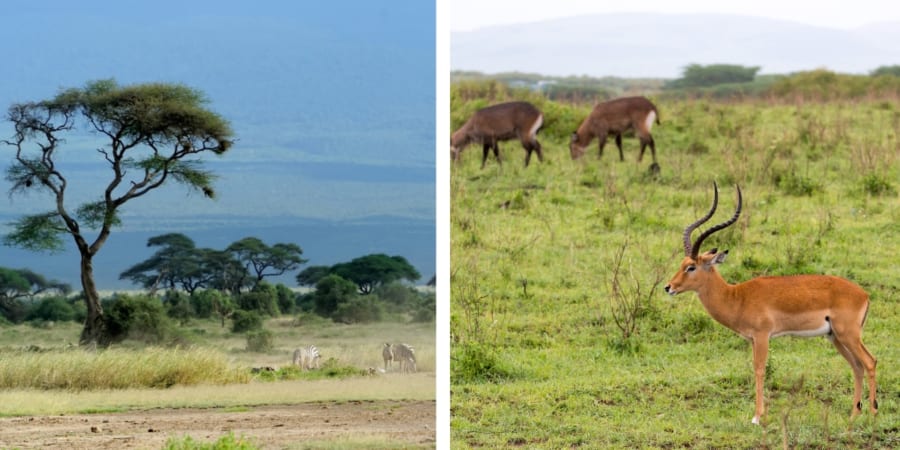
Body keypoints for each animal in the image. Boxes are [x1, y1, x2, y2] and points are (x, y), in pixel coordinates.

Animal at [660, 183, 880, 426]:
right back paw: (853, 415)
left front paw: (757, 417)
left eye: (691, 267)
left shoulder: (762, 336)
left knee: (870, 362)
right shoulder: (752, 340)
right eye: (682, 263)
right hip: (836, 337)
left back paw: (872, 413)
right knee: (857, 366)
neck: (736, 297)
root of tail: (864, 294)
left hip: (848, 334)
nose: (669, 287)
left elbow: (759, 369)